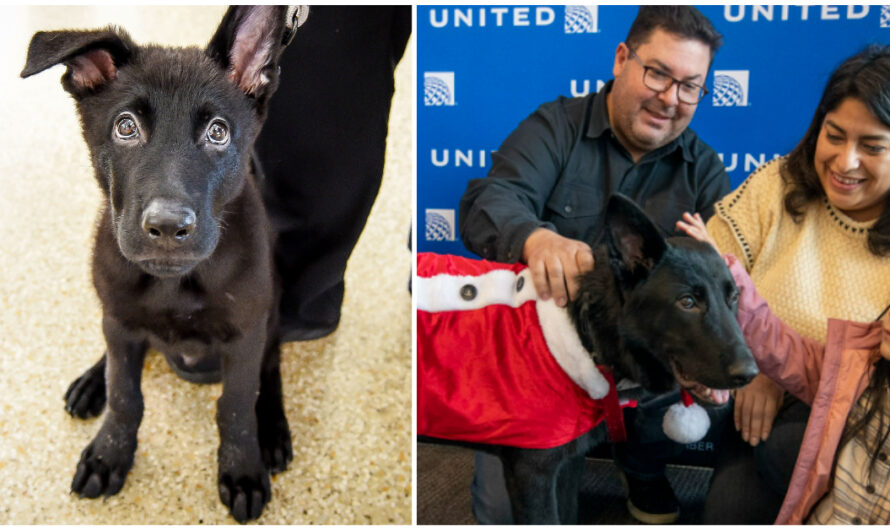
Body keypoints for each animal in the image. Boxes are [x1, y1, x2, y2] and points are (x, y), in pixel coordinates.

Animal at [22, 6, 292, 520]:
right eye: (126, 126)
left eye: (218, 132)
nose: (167, 227)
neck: (175, 284)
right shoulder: (121, 322)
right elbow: (125, 395)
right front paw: (109, 453)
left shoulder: (246, 334)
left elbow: (236, 405)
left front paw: (242, 468)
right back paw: (91, 382)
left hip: (274, 314)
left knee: (270, 371)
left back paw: (273, 429)